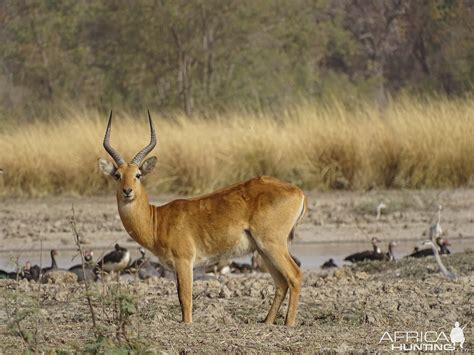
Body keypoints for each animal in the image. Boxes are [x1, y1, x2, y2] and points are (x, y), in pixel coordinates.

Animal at [98, 110, 310, 326]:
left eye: (138, 174)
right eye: (117, 175)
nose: (127, 191)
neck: (157, 220)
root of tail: (297, 191)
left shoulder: (184, 261)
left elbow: (185, 298)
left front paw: (187, 324)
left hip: (272, 244)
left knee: (295, 276)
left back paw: (289, 324)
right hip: (263, 250)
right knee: (281, 283)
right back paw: (267, 322)